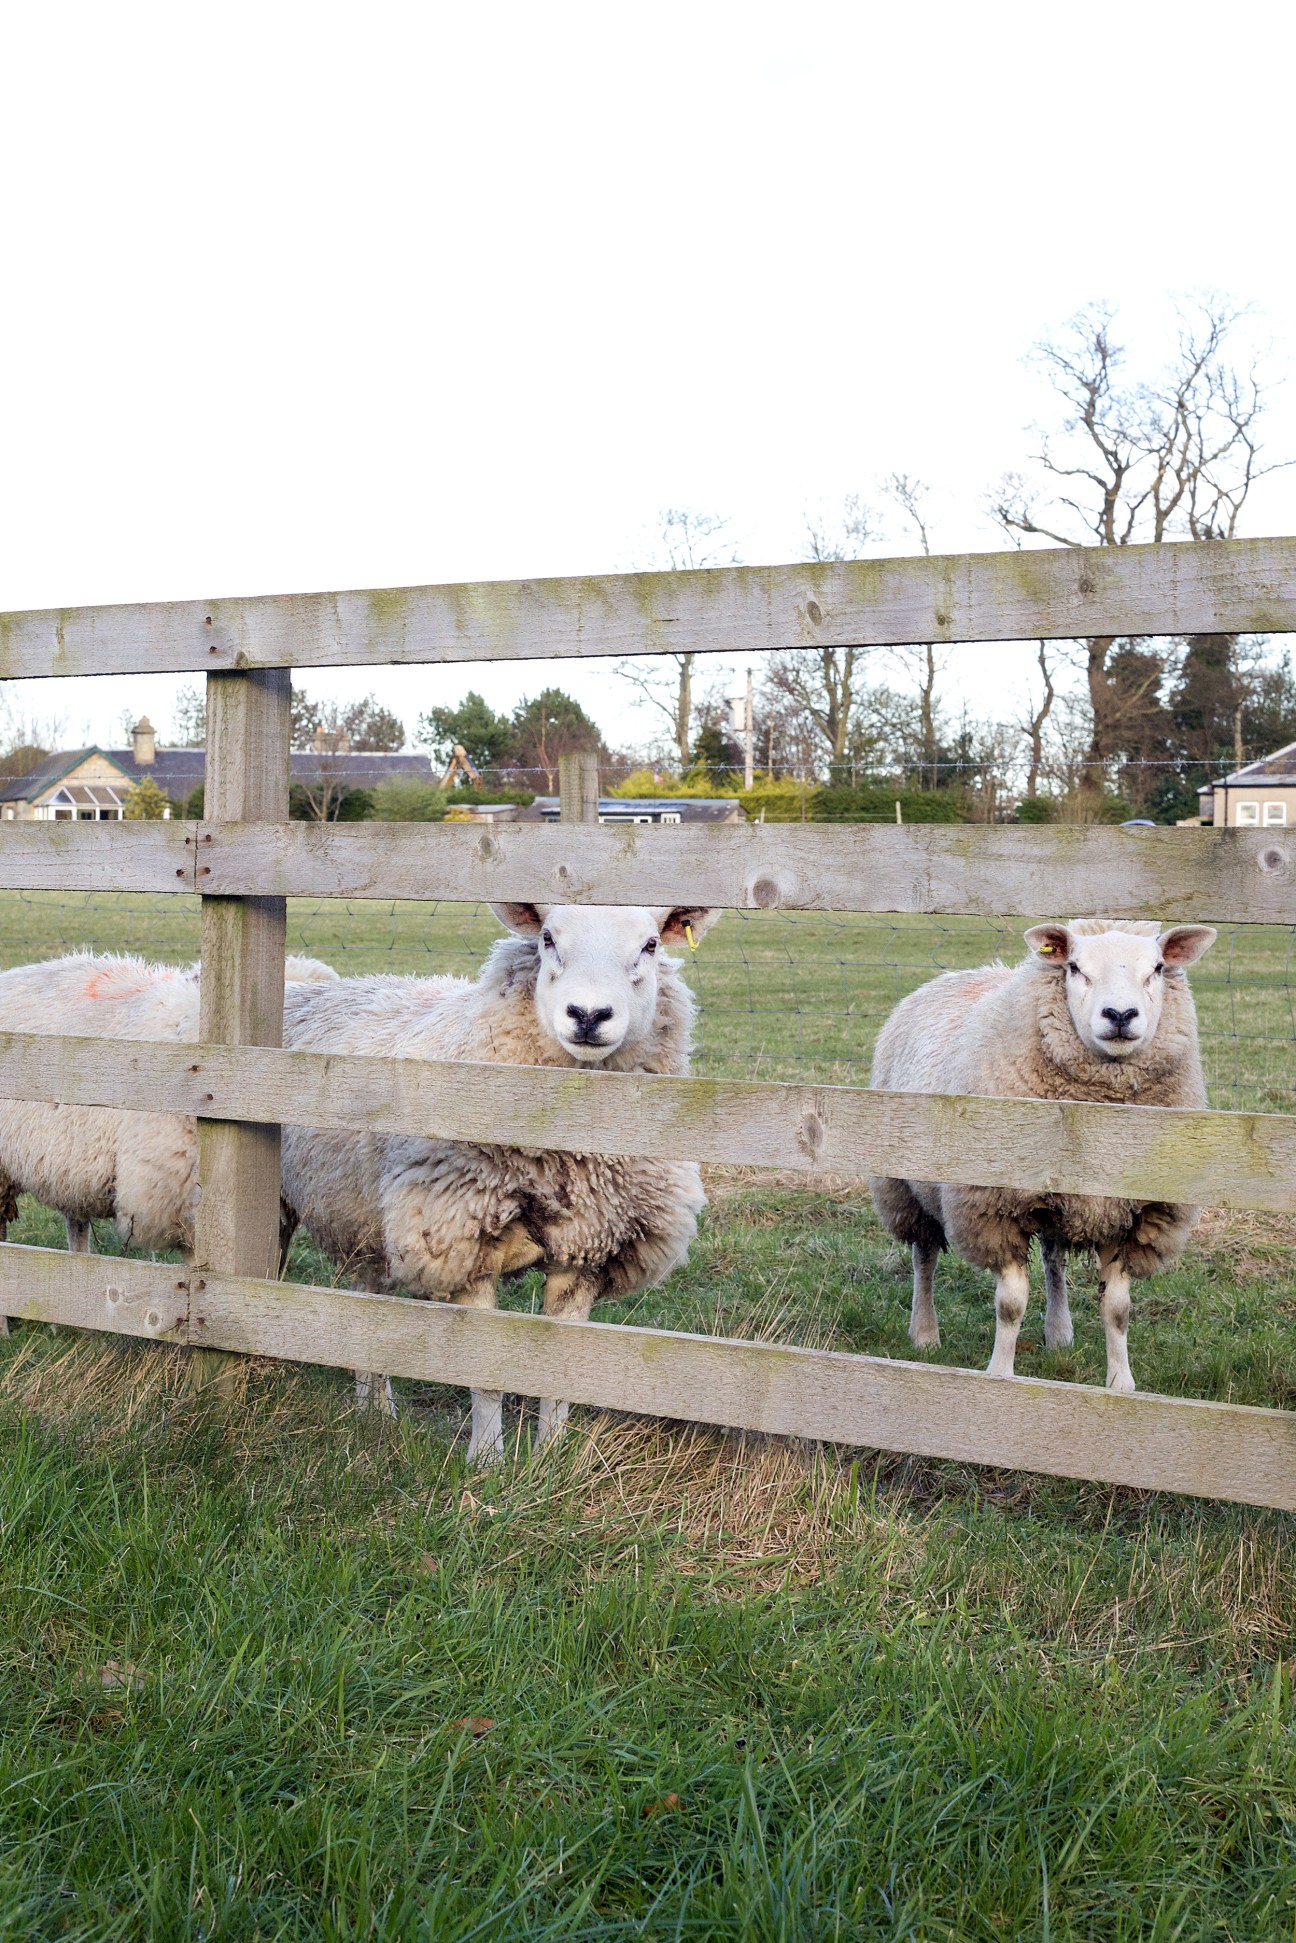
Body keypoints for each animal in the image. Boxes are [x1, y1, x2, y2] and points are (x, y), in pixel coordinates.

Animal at [279, 901, 720, 1458]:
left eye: (650, 944)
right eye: (548, 938)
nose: (589, 1015)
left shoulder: (588, 1248)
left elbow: (562, 1372)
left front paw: (550, 1458)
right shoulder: (462, 1243)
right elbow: (486, 1373)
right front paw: (485, 1460)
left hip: (360, 1216)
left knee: (367, 1300)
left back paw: (375, 1410)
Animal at [869, 918, 1217, 1394]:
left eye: (1158, 968)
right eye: (1074, 967)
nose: (1120, 1016)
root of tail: (959, 973)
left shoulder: (1131, 1213)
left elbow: (1117, 1309)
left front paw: (1121, 1384)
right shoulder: (993, 1207)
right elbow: (1010, 1305)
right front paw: (1000, 1374)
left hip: (1058, 1197)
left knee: (1054, 1258)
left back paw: (1059, 1332)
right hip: (904, 1185)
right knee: (924, 1255)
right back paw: (924, 1333)